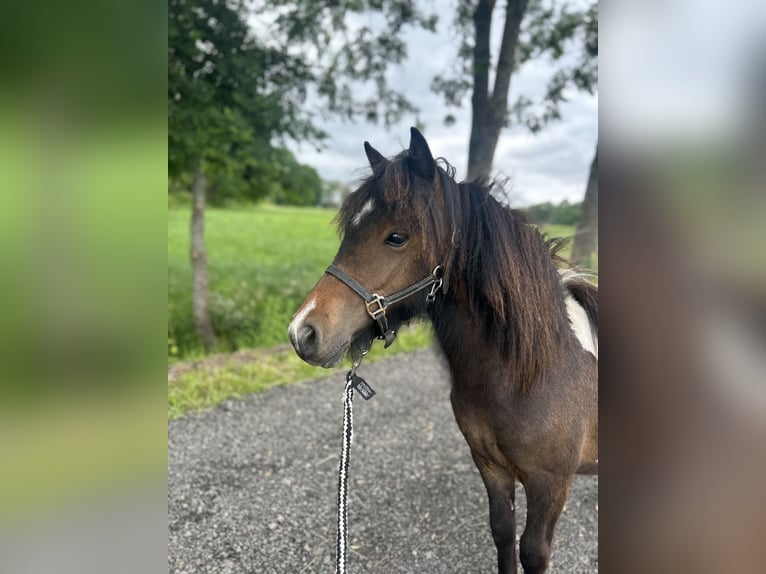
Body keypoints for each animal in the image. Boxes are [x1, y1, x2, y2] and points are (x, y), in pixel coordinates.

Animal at [287, 127, 598, 573]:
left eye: (397, 236)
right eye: (349, 230)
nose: (304, 332)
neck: (539, 370)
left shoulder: (550, 485)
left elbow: (532, 552)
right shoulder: (491, 467)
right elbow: (502, 532)